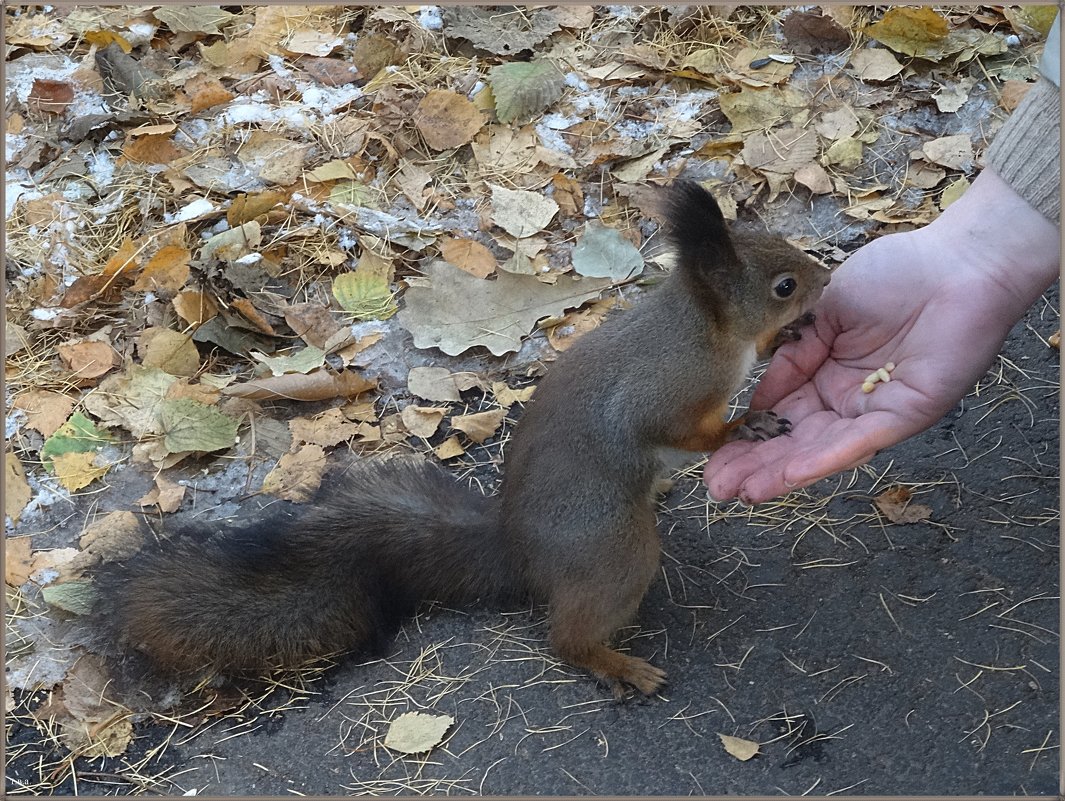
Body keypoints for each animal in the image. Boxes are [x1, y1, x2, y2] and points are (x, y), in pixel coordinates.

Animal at [89, 180, 830, 694]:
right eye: (783, 284)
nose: (826, 278)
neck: (706, 331)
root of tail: (517, 552)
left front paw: (786, 341)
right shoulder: (667, 386)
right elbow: (675, 430)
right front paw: (743, 422)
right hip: (614, 550)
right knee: (567, 634)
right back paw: (612, 662)